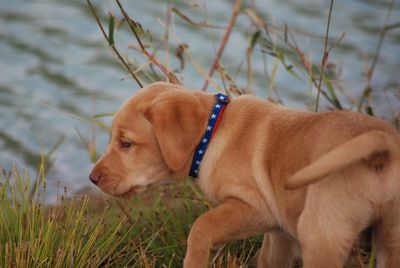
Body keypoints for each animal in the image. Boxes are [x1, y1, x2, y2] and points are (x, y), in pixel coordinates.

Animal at [89, 82, 398, 266]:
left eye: (125, 143)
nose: (92, 178)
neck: (214, 133)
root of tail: (383, 148)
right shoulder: (280, 231)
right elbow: (269, 260)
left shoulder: (257, 207)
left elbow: (202, 226)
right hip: (389, 238)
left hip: (322, 232)